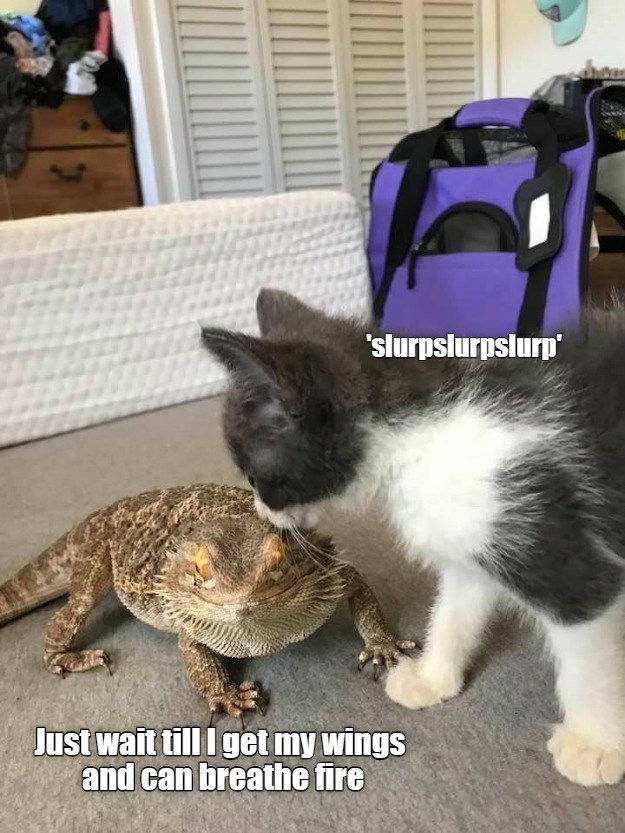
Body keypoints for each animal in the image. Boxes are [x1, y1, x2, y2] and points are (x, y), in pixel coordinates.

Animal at [201, 288, 625, 787]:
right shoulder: (469, 545)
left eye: (254, 478)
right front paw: (432, 678)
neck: (422, 441)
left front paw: (596, 742)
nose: (262, 513)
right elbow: (454, 611)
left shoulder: (560, 553)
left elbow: (589, 658)